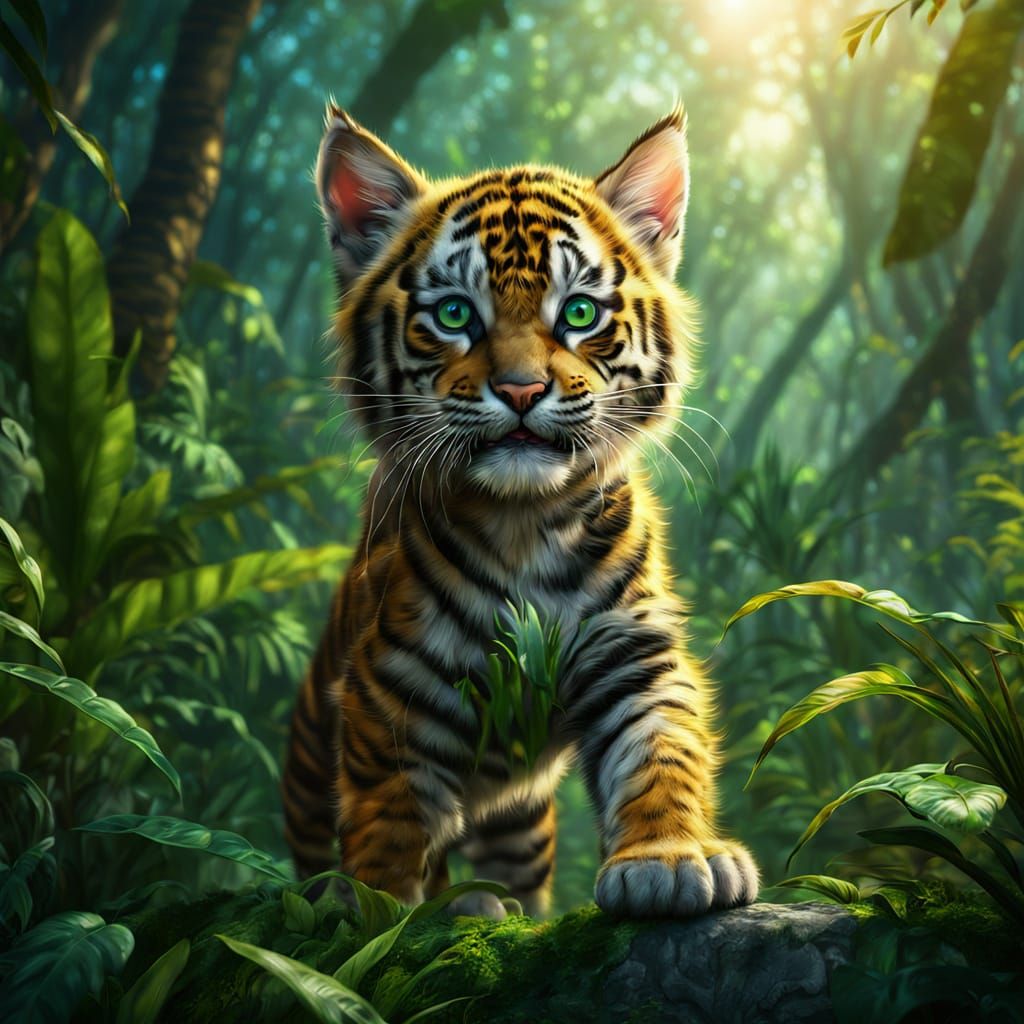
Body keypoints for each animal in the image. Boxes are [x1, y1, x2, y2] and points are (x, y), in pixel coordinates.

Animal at [282, 101, 759, 920]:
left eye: (578, 312)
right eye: (452, 314)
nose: (521, 389)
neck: (526, 521)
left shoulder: (632, 652)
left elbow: (662, 749)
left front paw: (670, 858)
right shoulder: (393, 691)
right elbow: (389, 819)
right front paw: (382, 911)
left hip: (521, 825)